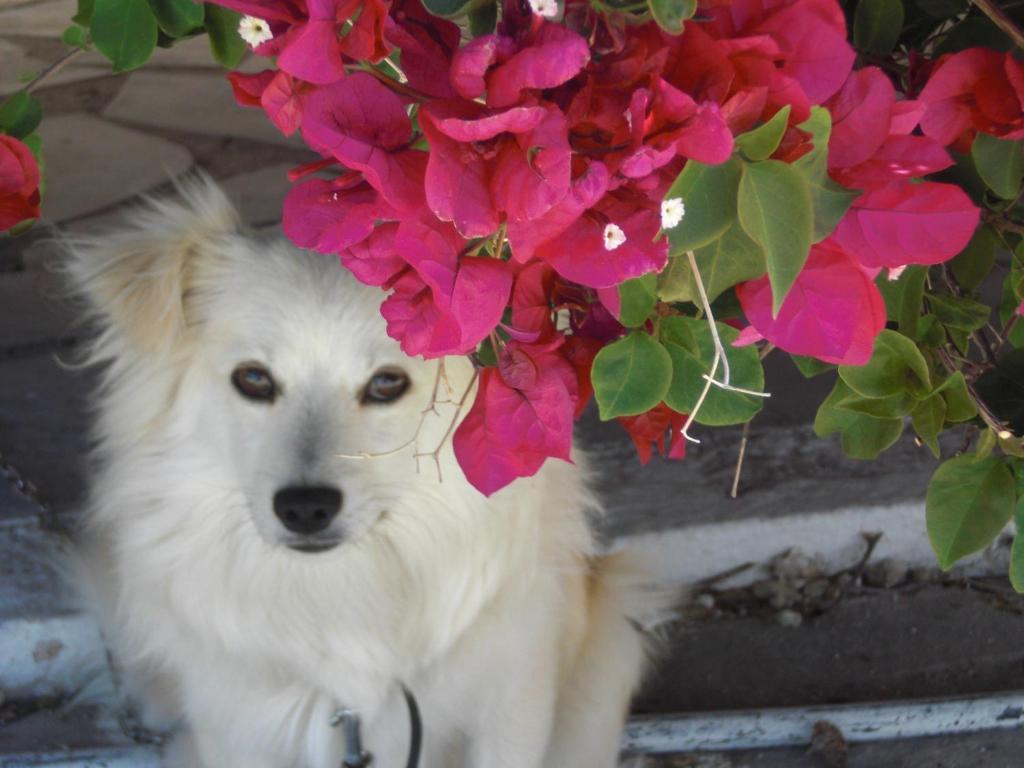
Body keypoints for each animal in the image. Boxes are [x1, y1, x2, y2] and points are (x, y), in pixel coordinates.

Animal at [64, 177, 671, 765]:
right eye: (253, 379)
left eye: (386, 383)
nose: (305, 508)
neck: (339, 591)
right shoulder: (236, 730)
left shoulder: (512, 703)